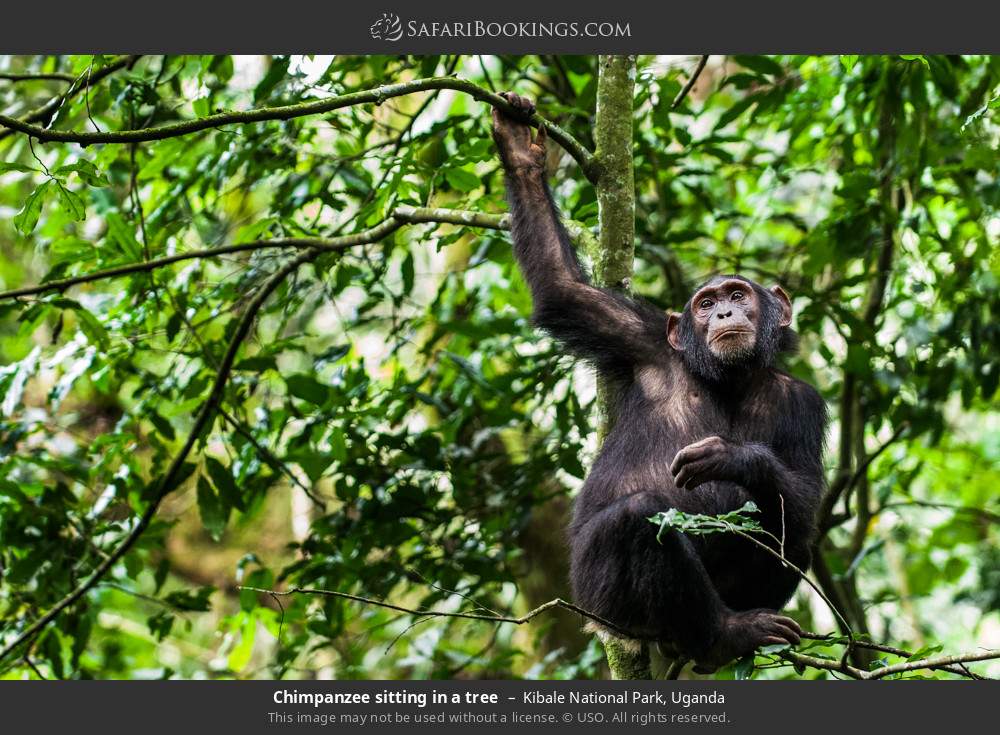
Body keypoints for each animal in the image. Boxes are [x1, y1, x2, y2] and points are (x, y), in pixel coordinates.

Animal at [492, 93, 828, 672]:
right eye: (706, 303)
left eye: (738, 294)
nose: (724, 313)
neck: (727, 378)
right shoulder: (641, 338)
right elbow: (562, 290)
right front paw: (519, 150)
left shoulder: (806, 402)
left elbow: (803, 497)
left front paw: (733, 458)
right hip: (602, 603)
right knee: (639, 516)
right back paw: (723, 637)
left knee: (793, 538)